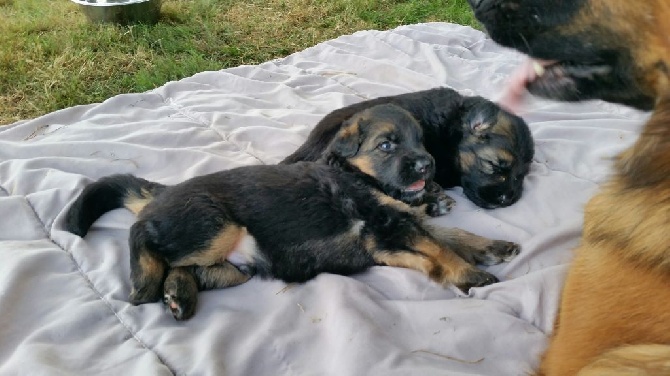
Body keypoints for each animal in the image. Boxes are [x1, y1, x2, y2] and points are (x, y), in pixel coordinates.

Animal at [65, 103, 524, 320]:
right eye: (387, 145)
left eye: (422, 142)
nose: (427, 167)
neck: (361, 178)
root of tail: (167, 192)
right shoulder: (388, 228)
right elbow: (441, 248)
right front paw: (471, 275)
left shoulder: (392, 233)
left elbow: (450, 238)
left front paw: (492, 247)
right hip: (216, 226)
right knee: (143, 236)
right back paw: (146, 284)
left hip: (234, 264)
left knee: (190, 268)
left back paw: (178, 296)